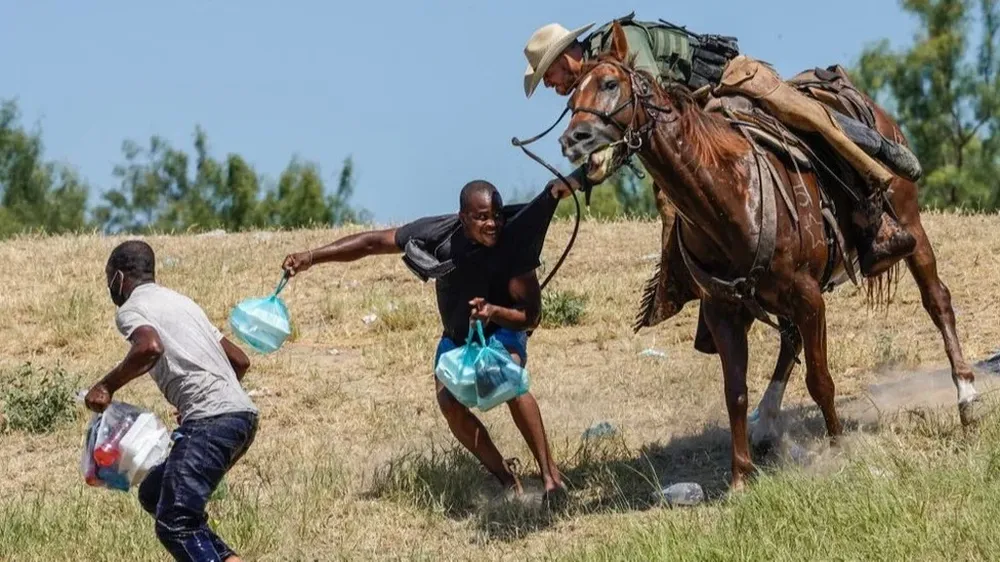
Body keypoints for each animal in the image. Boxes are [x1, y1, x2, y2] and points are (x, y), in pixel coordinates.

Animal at [557, 22, 982, 490]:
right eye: (570, 98)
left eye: (610, 84)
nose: (572, 139)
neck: (729, 194)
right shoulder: (724, 309)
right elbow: (735, 392)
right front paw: (741, 476)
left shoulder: (808, 296)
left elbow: (820, 380)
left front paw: (838, 449)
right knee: (789, 339)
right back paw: (767, 423)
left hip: (911, 227)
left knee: (937, 300)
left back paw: (966, 397)